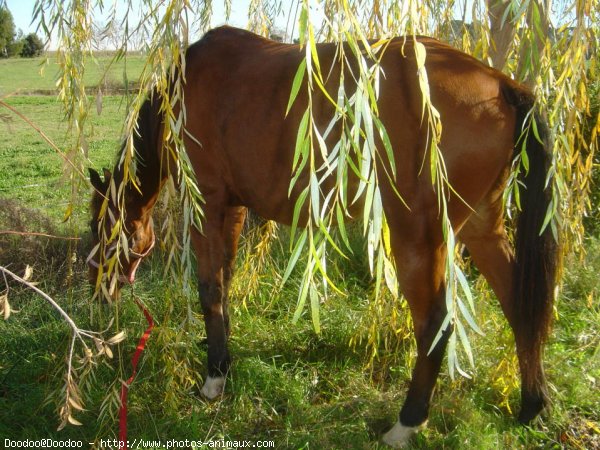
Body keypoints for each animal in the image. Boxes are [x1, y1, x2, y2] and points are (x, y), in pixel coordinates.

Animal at [89, 27, 556, 446]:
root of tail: (503, 86)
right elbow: (224, 279)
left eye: (103, 228)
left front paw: (213, 378)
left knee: (435, 323)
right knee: (520, 307)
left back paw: (406, 424)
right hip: (483, 228)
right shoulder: (234, 208)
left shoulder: (207, 201)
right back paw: (532, 406)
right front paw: (220, 354)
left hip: (418, 240)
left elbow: (210, 288)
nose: (99, 290)